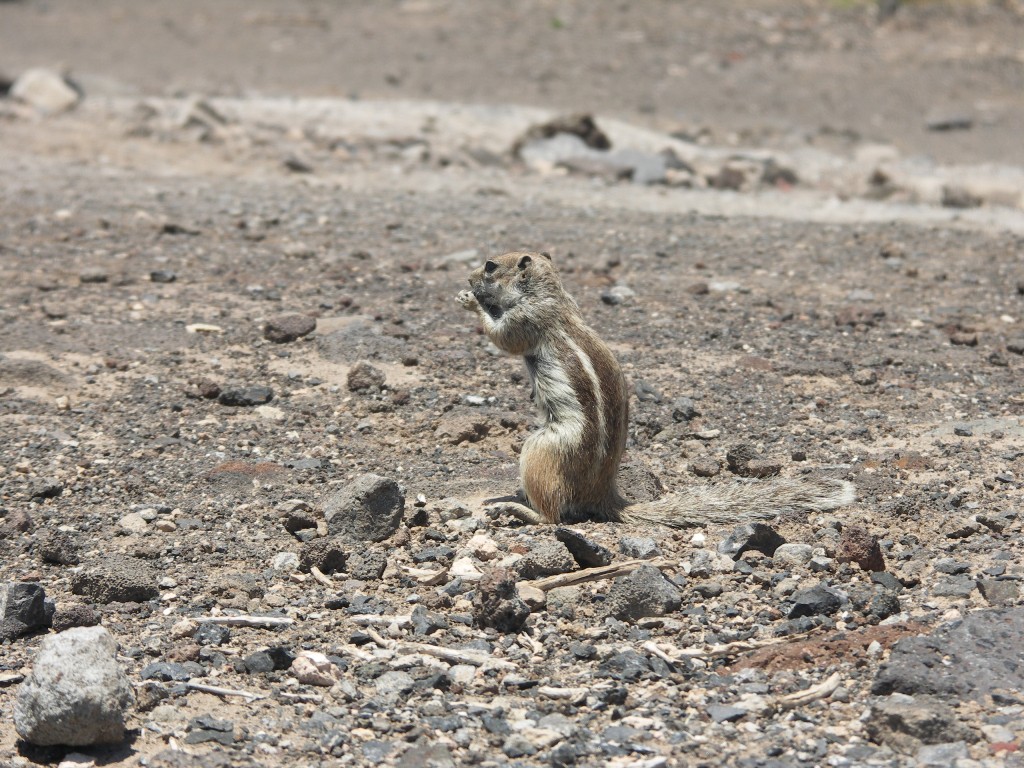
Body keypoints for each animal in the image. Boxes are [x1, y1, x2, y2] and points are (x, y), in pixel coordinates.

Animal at [458, 252, 856, 528]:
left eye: (490, 266)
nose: (469, 276)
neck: (549, 294)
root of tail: (602, 494)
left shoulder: (526, 321)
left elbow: (502, 337)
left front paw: (471, 301)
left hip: (543, 451)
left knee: (554, 515)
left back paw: (518, 509)